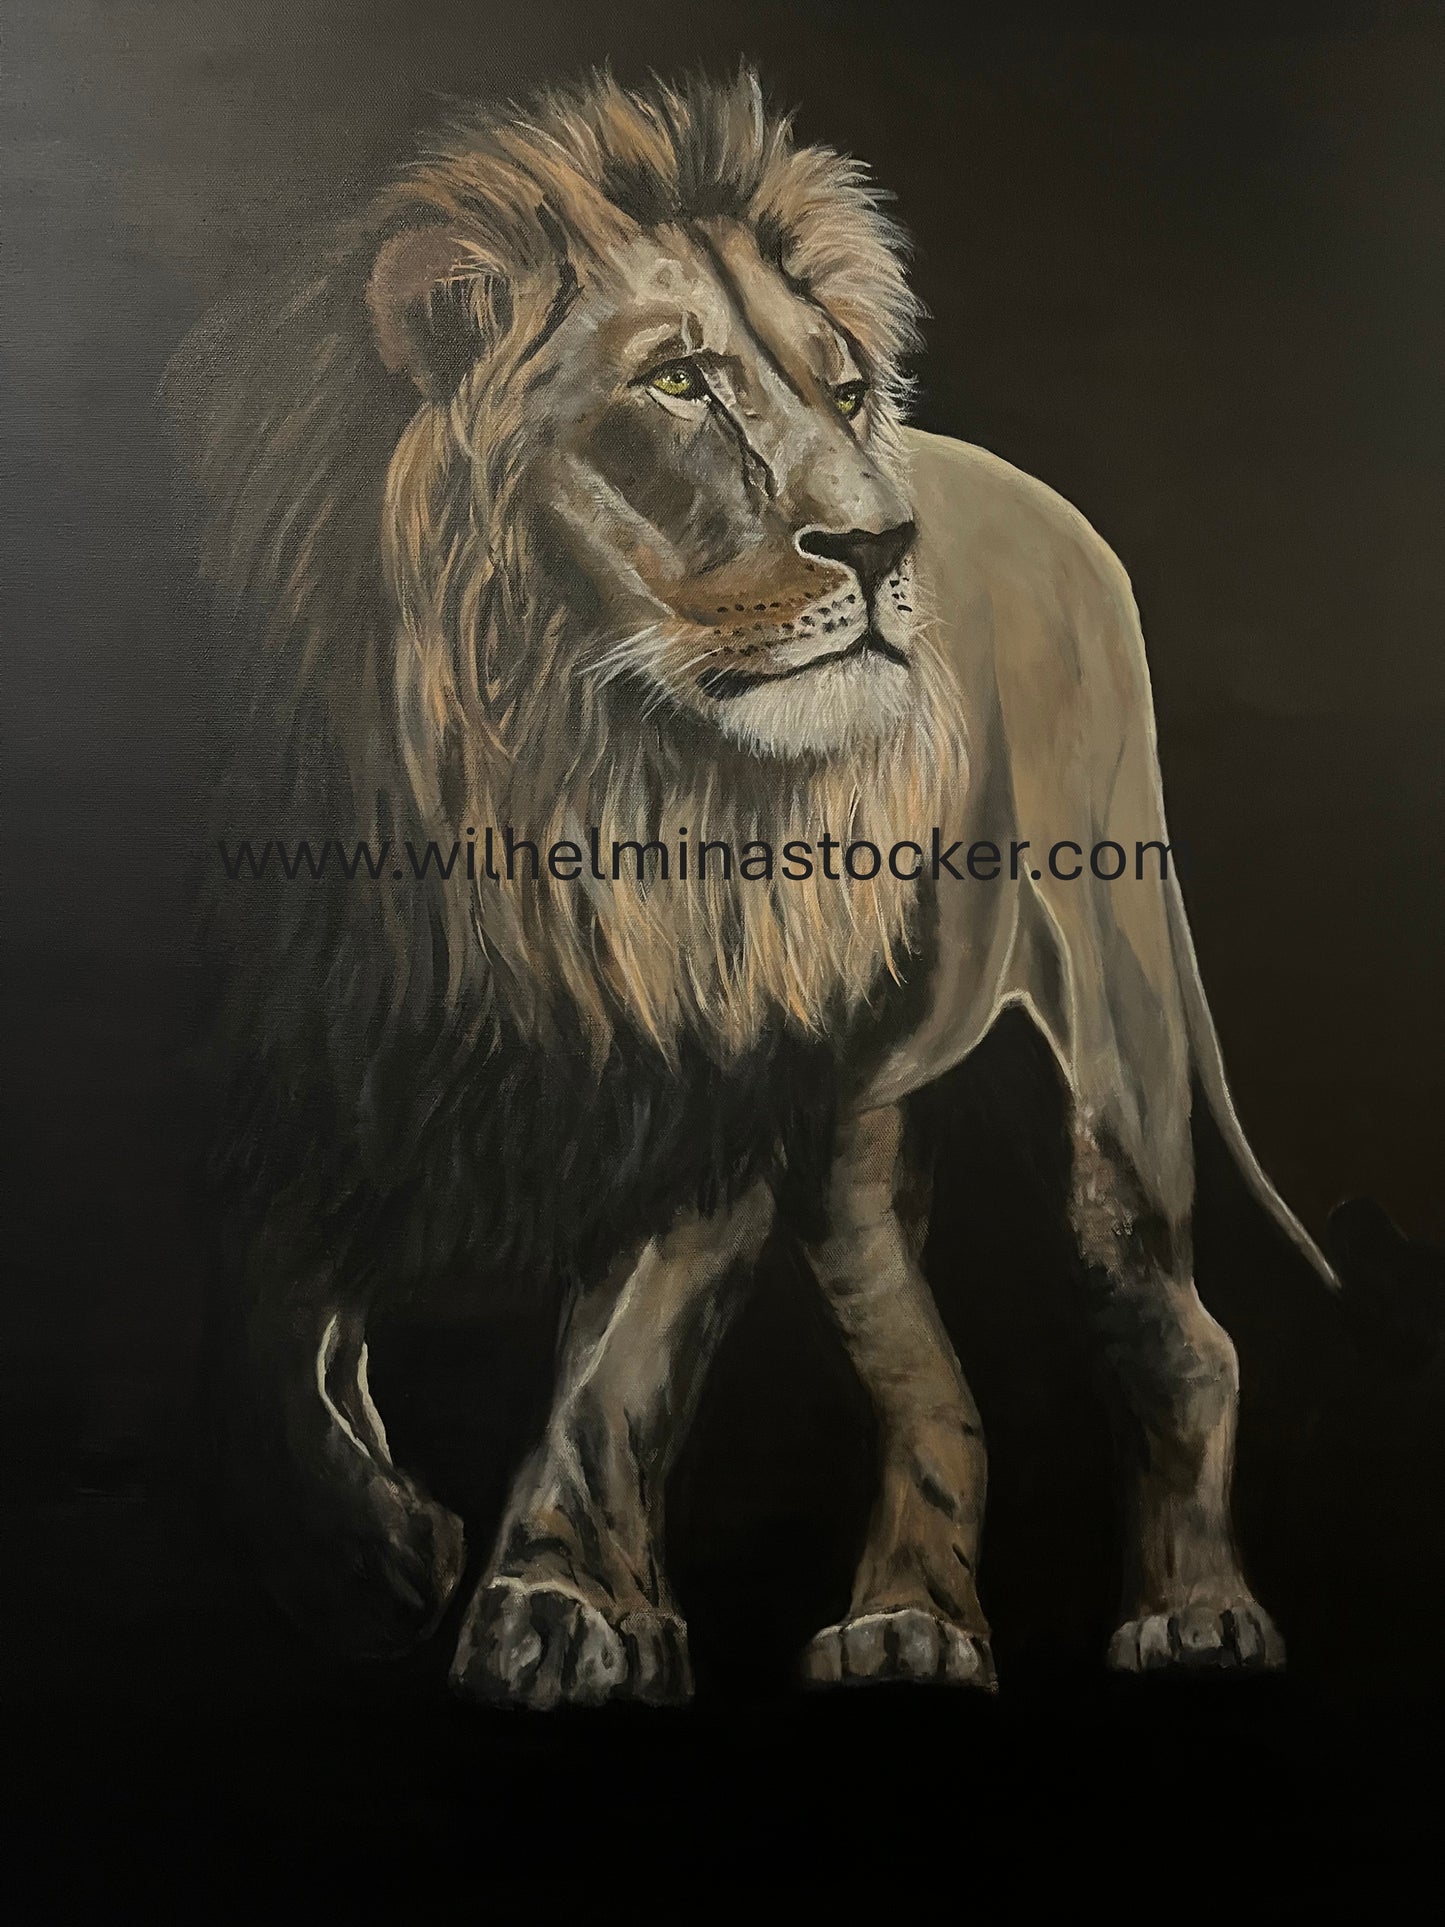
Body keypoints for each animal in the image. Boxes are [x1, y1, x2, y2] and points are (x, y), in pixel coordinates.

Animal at [168, 67, 1336, 1704]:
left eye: (841, 392)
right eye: (677, 384)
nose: (882, 539)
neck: (560, 784)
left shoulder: (711, 1089)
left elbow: (618, 1373)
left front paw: (558, 1605)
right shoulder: (280, 1054)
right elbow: (257, 1313)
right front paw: (371, 1554)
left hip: (1116, 1034)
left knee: (1177, 1330)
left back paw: (1198, 1614)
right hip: (854, 1149)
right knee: (939, 1390)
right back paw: (906, 1625)